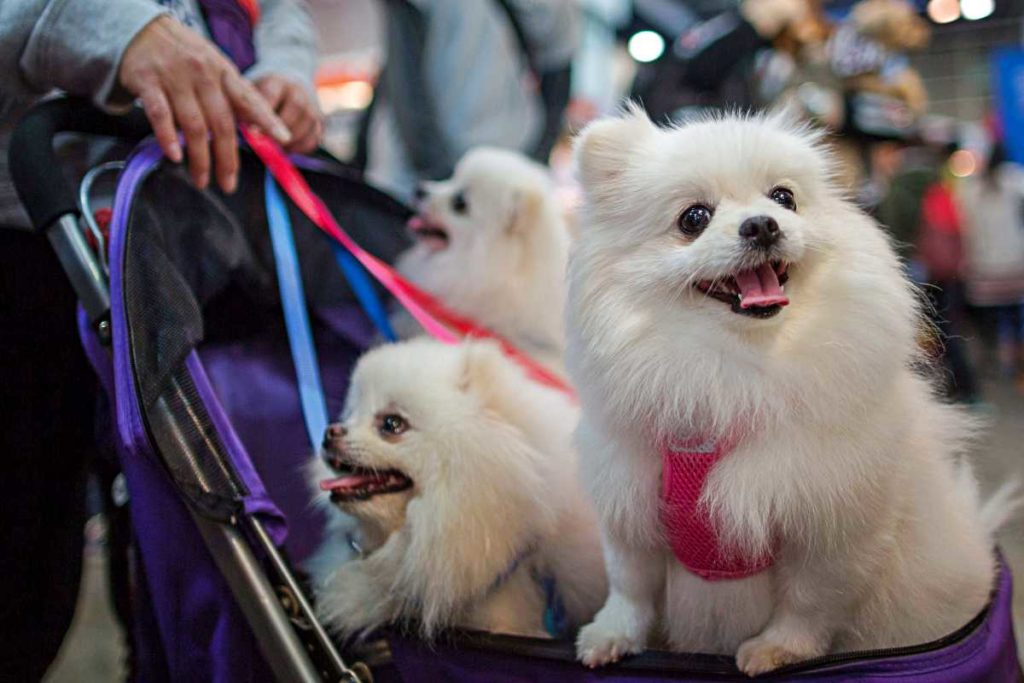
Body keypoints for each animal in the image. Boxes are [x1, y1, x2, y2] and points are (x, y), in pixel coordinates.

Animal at [569, 105, 1007, 671]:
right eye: (694, 218)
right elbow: (629, 584)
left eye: (784, 198)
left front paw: (778, 650)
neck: (734, 364)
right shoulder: (630, 501)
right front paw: (611, 634)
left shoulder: (831, 523)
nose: (762, 224)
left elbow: (810, 601)